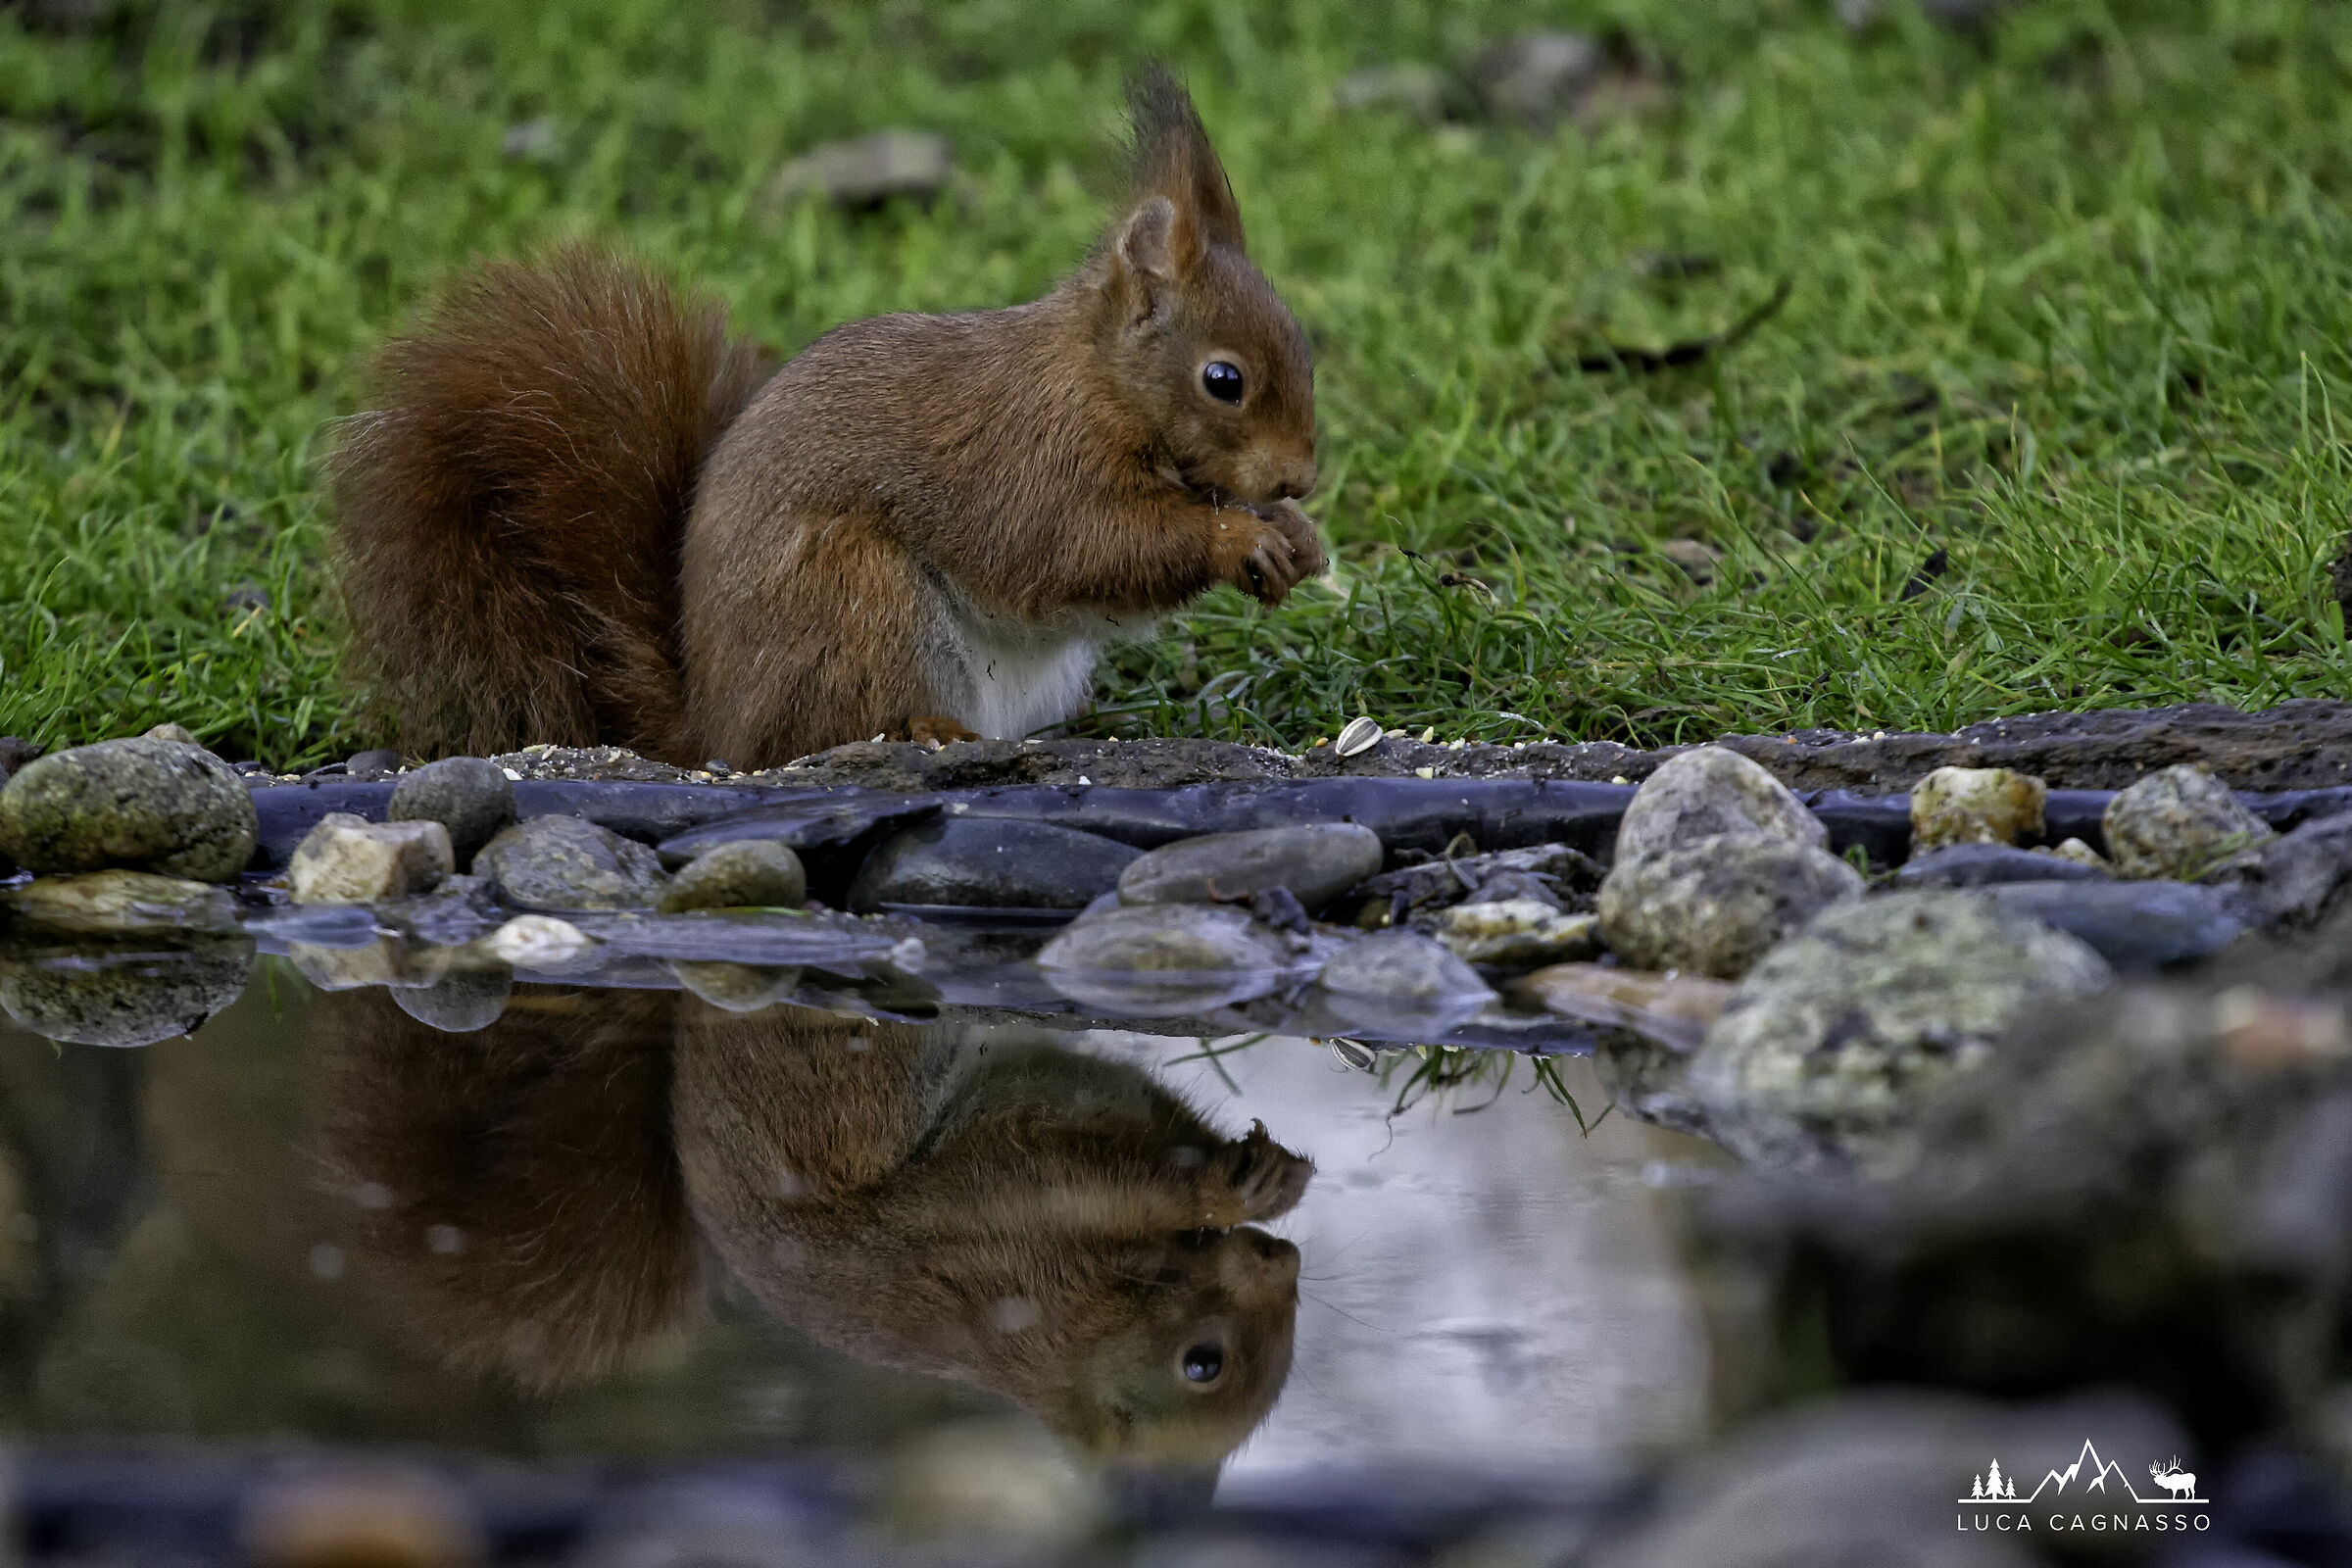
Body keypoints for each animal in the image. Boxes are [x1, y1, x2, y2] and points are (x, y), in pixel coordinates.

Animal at [334, 65, 1325, 771]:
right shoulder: (1030, 456)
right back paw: (925, 729)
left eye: (1305, 343)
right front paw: (1239, 537)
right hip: (854, 598)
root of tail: (714, 728)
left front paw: (1296, 534)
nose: (1300, 478)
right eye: (1224, 379)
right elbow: (1076, 545)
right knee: (823, 730)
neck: (1101, 381)